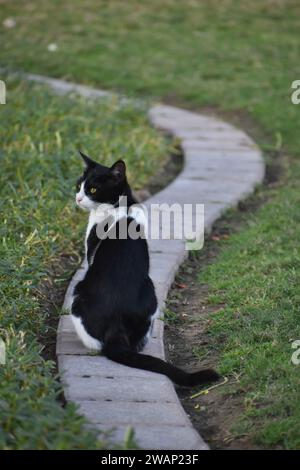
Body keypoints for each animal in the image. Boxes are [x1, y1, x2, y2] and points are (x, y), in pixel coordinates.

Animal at [71, 151, 220, 386]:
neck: (121, 206)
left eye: (92, 190)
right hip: (151, 293)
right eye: (79, 185)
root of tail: (116, 325)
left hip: (79, 290)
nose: (77, 198)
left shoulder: (91, 250)